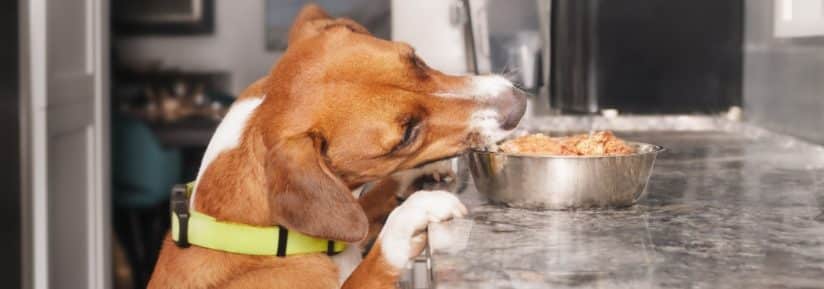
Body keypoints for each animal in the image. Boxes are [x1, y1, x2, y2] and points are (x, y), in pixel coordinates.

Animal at [145, 5, 524, 288]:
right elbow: (374, 260)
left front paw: (421, 176)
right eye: (406, 135)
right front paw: (410, 215)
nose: (519, 104)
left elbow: (364, 209)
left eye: (415, 59)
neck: (262, 238)